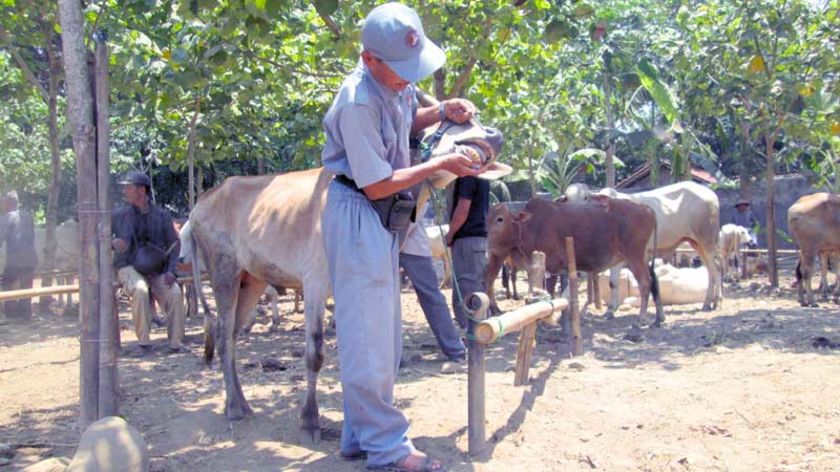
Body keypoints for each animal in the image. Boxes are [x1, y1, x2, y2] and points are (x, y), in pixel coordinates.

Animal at [486, 197, 664, 326]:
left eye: (500, 219)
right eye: (487, 218)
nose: (488, 240)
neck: (531, 226)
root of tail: (647, 208)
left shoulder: (551, 266)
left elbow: (550, 292)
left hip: (634, 255)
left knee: (645, 282)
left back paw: (640, 319)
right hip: (641, 256)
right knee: (653, 279)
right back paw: (657, 318)